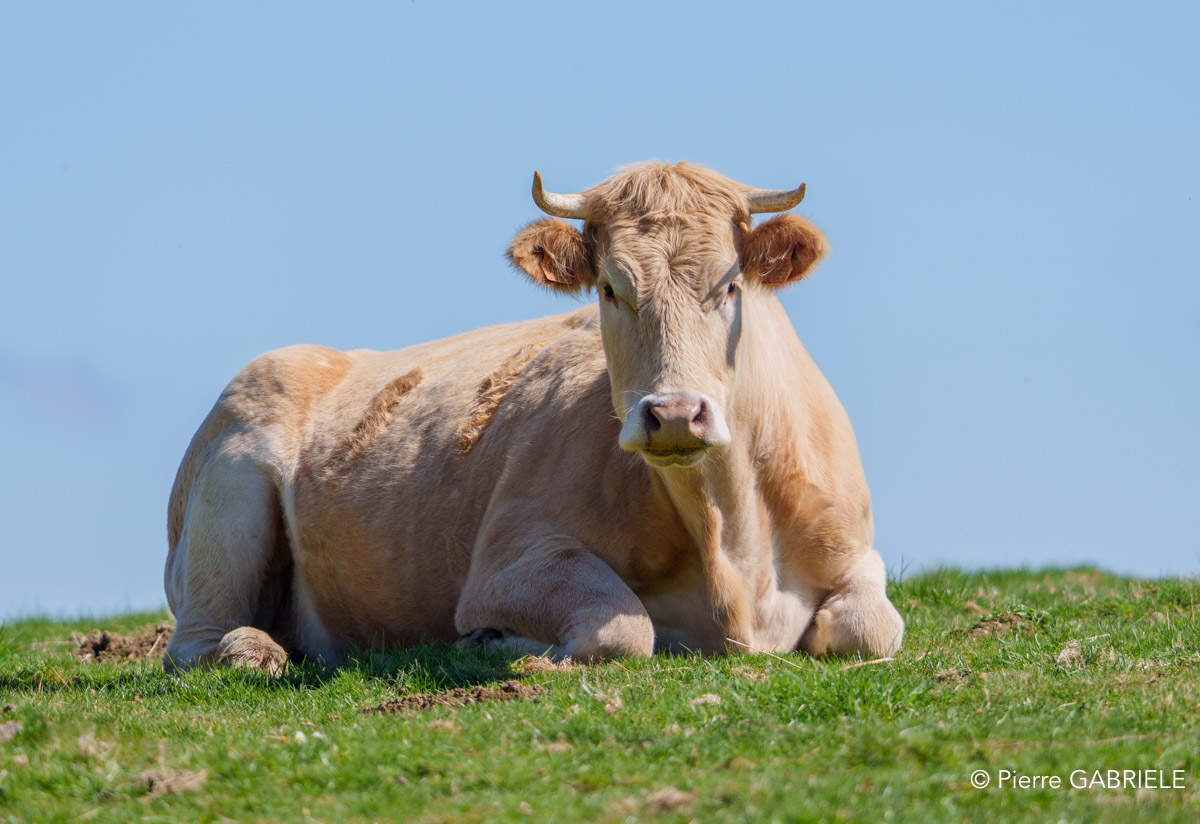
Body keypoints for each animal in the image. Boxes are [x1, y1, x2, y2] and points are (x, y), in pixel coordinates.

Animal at [163, 162, 904, 674]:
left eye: (729, 286)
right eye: (610, 287)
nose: (672, 414)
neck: (733, 538)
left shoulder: (853, 547)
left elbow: (871, 627)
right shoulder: (510, 558)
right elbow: (623, 626)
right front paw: (498, 642)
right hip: (231, 481)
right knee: (193, 639)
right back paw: (250, 650)